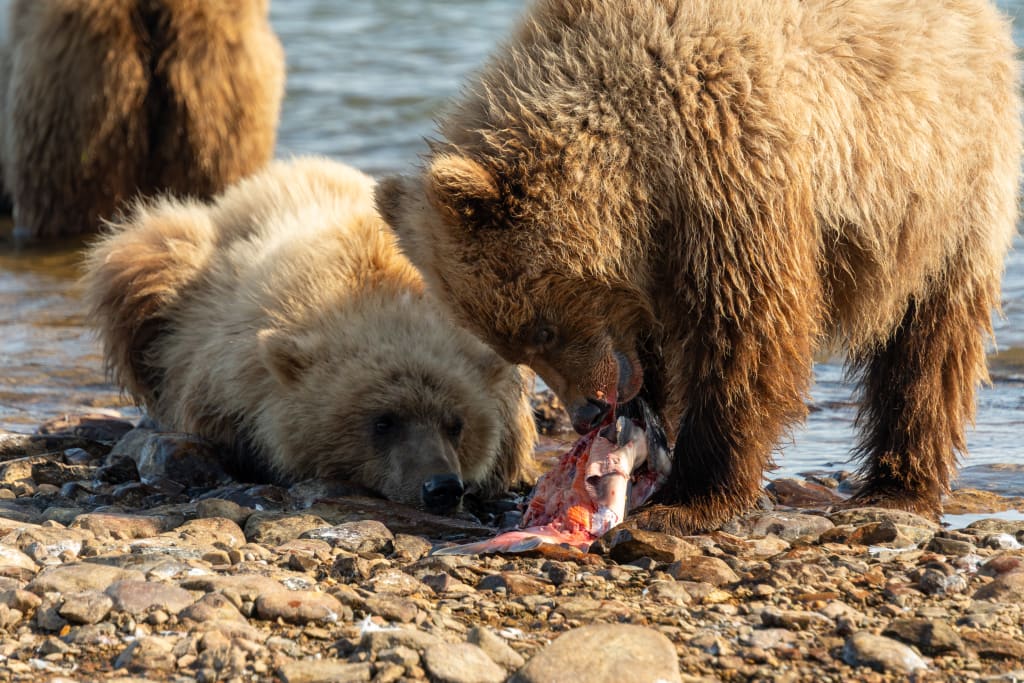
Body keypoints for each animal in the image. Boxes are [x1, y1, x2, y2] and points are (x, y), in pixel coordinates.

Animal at [376, 0, 1022, 532]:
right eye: (511, 345)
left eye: (542, 327)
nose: (586, 413)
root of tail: (987, 19)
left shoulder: (731, 159)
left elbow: (744, 334)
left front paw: (691, 498)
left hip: (945, 185)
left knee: (929, 342)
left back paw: (898, 485)